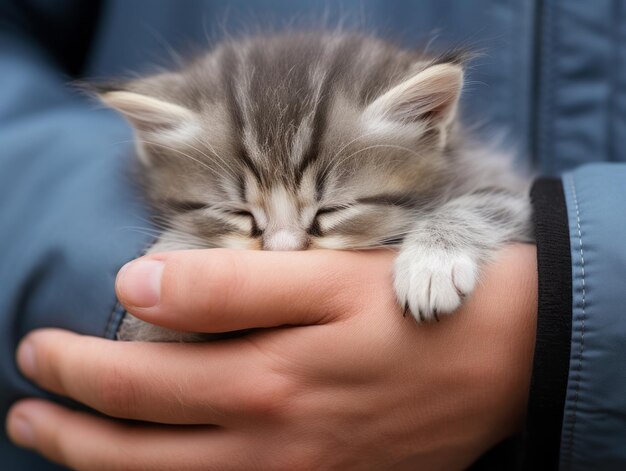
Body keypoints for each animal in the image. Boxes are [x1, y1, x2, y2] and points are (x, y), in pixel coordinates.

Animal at [95, 33, 528, 342]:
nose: (283, 252)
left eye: (331, 211)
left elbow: (487, 202)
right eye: (238, 213)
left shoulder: (510, 186)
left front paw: (431, 263)